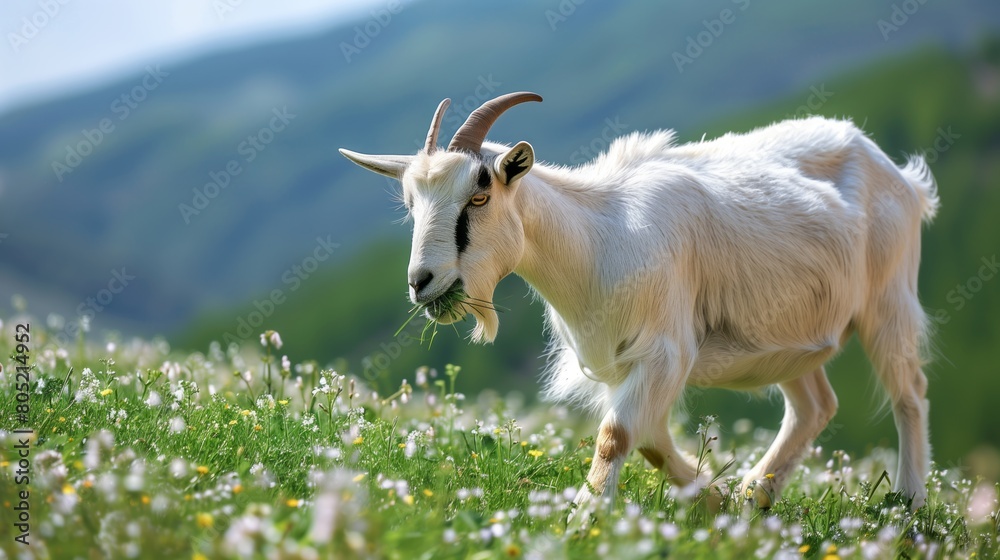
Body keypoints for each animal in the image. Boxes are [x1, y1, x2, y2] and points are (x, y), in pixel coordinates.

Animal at [340, 92, 938, 516]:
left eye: (480, 195)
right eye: (410, 203)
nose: (423, 282)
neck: (598, 239)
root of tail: (902, 177)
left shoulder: (664, 350)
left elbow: (616, 436)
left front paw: (583, 520)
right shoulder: (622, 361)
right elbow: (649, 440)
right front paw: (713, 500)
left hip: (888, 299)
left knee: (908, 392)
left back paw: (906, 505)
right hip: (785, 333)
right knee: (815, 405)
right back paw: (755, 497)